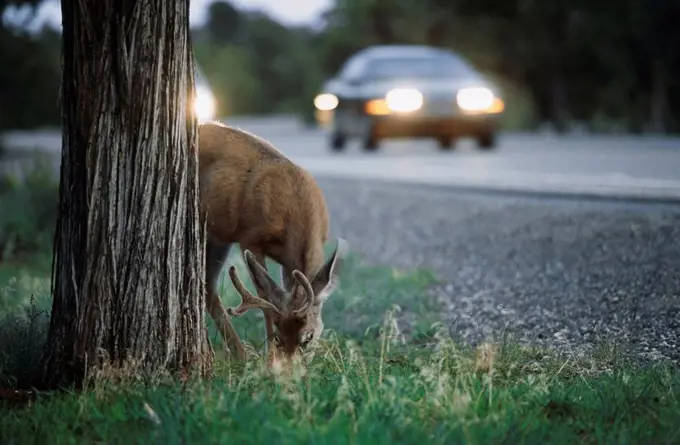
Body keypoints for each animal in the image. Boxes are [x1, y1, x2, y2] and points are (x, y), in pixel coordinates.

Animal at [195, 122, 346, 368]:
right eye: (278, 336)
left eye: (308, 337)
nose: (292, 370)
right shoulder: (250, 238)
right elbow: (265, 296)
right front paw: (269, 358)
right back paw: (241, 354)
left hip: (219, 235)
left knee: (207, 285)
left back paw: (237, 354)